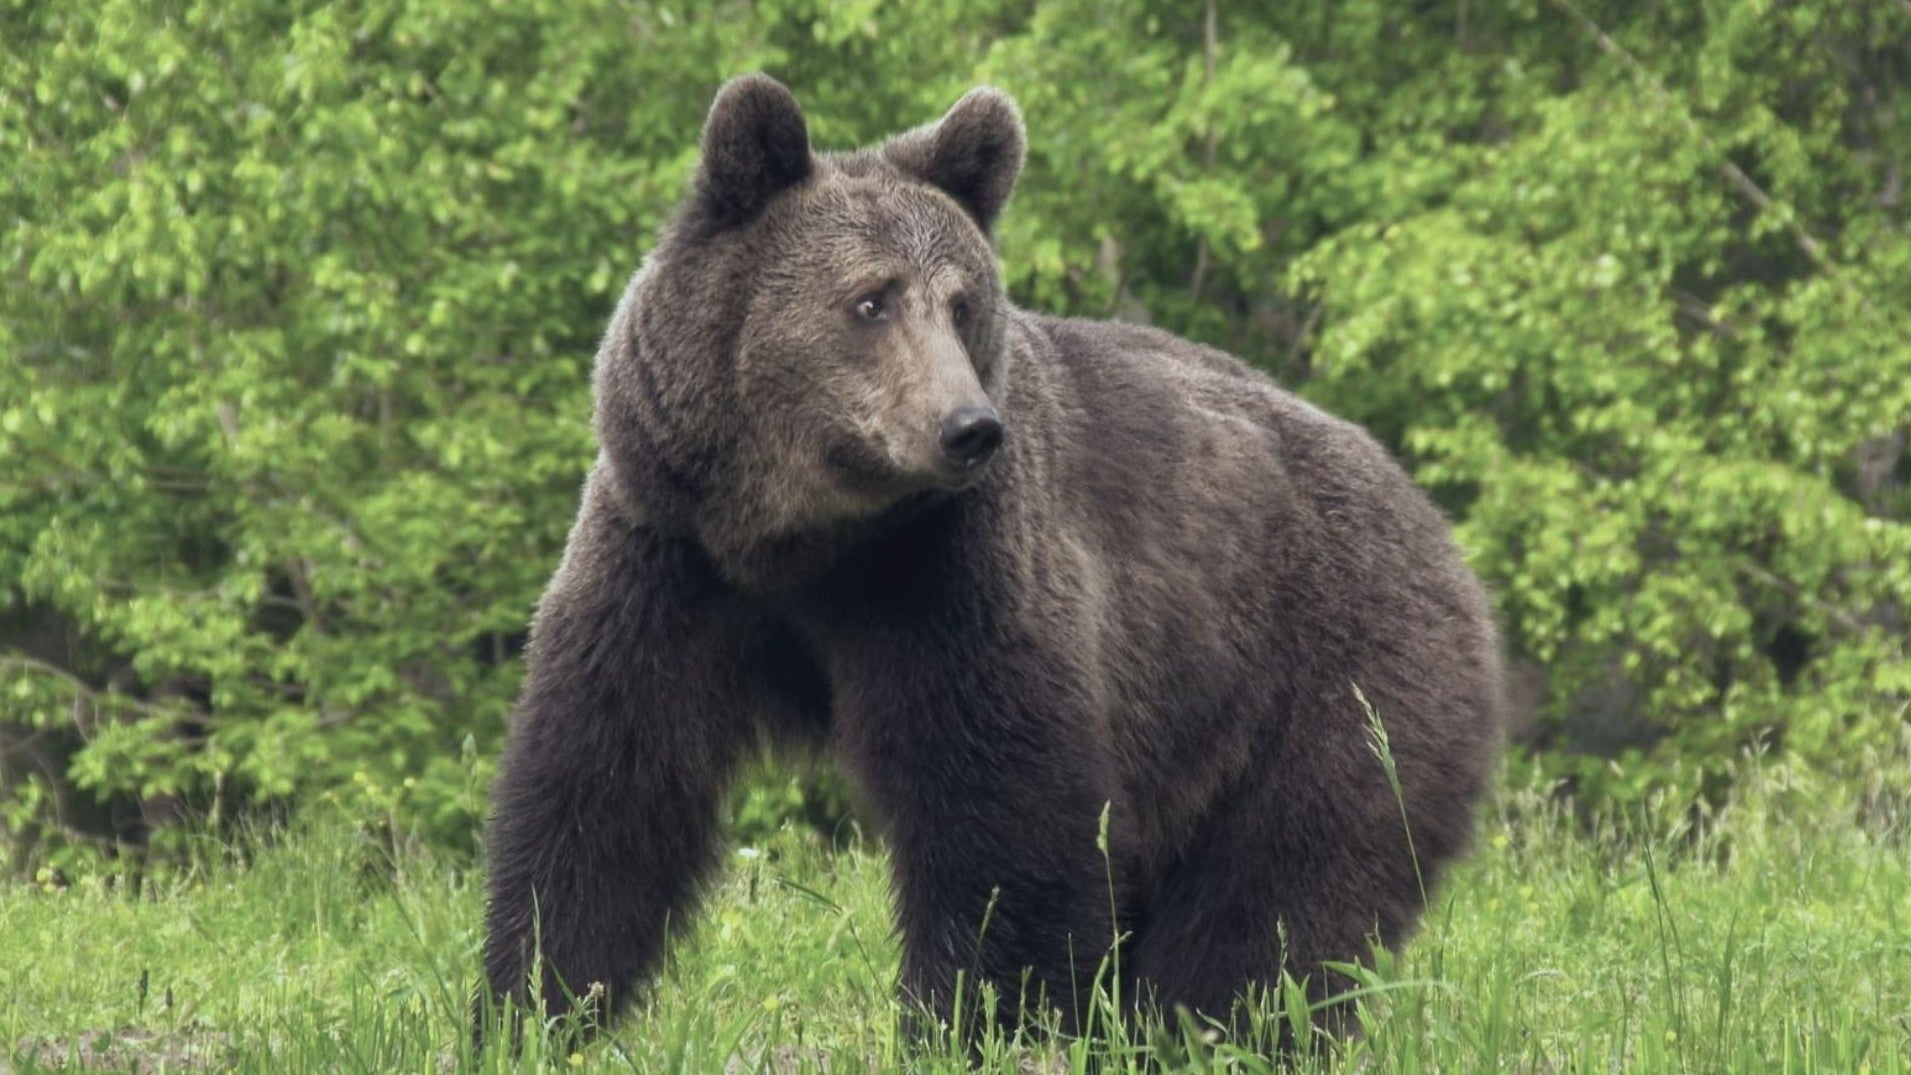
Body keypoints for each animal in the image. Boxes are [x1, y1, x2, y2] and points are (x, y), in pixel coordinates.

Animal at [477, 74, 1503, 1047]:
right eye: (870, 298)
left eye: (962, 302)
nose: (967, 426)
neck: (801, 545)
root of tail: (1430, 520)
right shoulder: (670, 559)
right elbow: (605, 791)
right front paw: (534, 1002)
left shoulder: (956, 575)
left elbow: (1001, 819)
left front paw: (977, 1016)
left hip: (1330, 677)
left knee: (1271, 905)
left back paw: (1212, 1028)